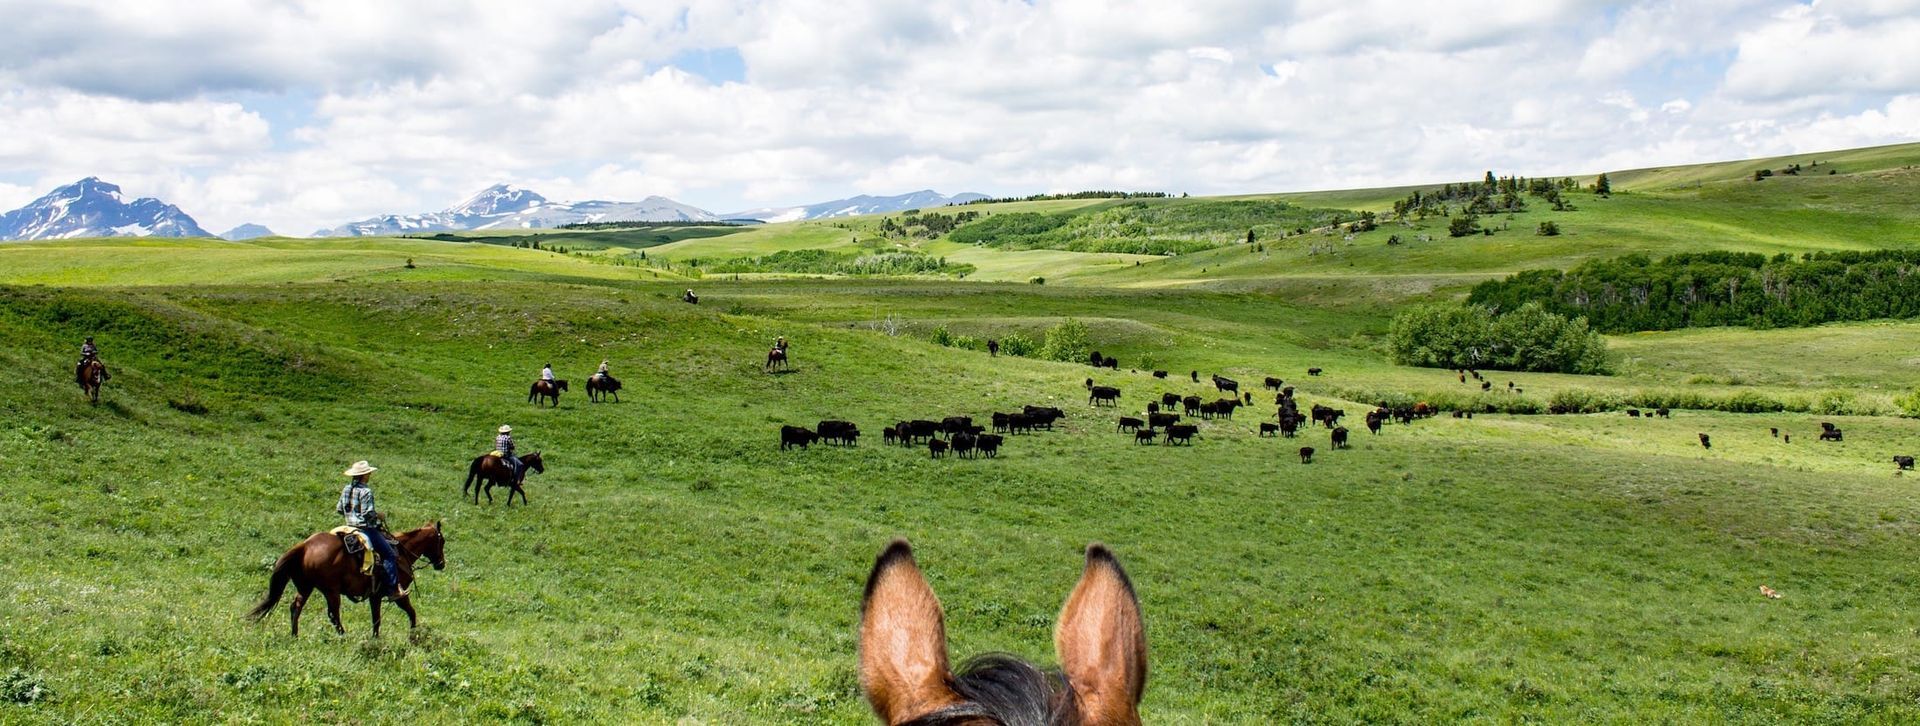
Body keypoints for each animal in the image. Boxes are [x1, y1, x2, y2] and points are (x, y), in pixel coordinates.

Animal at [247, 522, 446, 636]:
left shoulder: (375, 596)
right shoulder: (399, 594)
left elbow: (376, 619)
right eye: (442, 541)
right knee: (333, 614)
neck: (402, 553)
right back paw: (343, 636)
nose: (442, 564)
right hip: (331, 591)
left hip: (306, 587)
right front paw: (414, 636)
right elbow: (412, 612)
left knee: (296, 607)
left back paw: (294, 635)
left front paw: (375, 639)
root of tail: (305, 545)